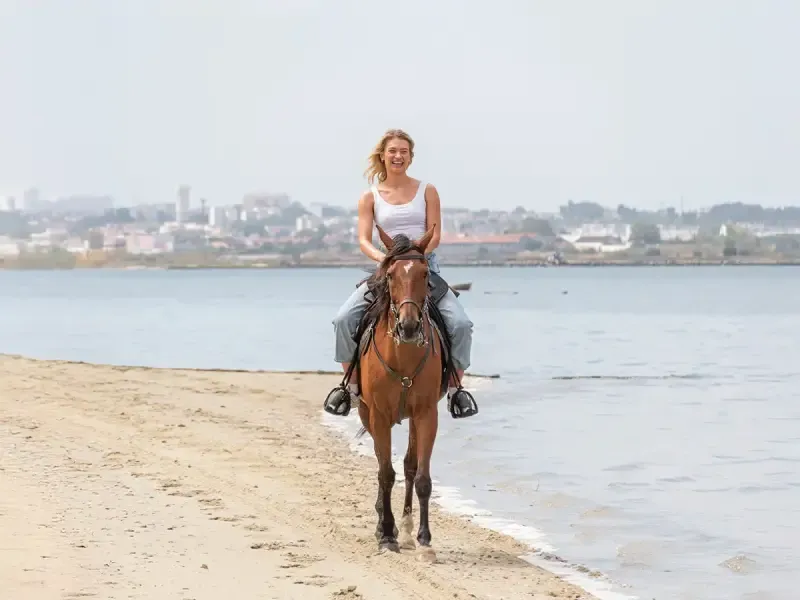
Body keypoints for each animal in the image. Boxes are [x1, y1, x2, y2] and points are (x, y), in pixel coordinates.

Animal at [346, 224, 456, 562]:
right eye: (391, 274)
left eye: (424, 274)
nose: (408, 327)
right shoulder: (379, 415)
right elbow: (385, 473)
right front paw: (385, 534)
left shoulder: (426, 415)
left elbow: (421, 477)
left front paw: (424, 540)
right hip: (366, 413)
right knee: (384, 464)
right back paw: (388, 525)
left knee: (409, 465)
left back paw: (405, 531)